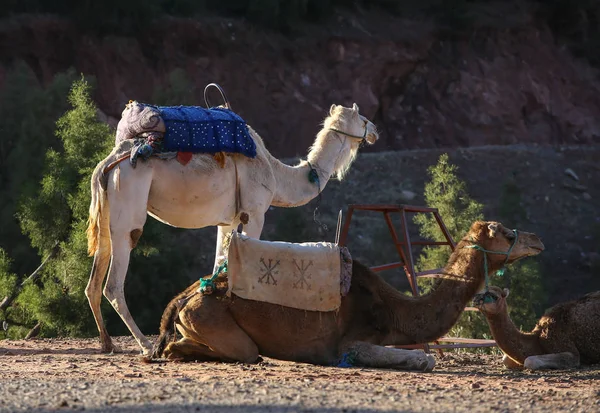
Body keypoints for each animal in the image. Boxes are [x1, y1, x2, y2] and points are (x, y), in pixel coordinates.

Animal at [85, 103, 380, 354]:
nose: (376, 132)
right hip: (128, 203)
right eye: (363, 119)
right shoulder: (254, 213)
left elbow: (219, 266)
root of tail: (107, 164)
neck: (278, 175)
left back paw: (107, 343)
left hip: (106, 212)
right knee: (113, 283)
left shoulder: (227, 222)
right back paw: (145, 345)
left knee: (95, 278)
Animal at [151, 220, 544, 372]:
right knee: (236, 351)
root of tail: (184, 296)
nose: (537, 241)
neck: (394, 310)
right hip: (209, 316)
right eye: (508, 234)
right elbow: (424, 358)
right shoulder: (350, 342)